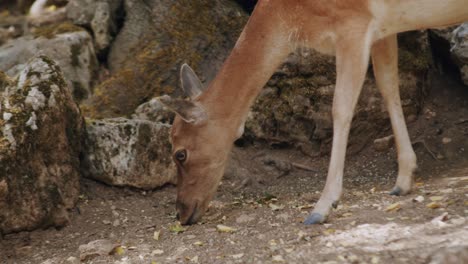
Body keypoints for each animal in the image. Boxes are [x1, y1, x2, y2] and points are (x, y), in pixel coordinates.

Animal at [158, 1, 468, 226]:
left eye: (180, 153)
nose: (181, 213)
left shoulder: (352, 25)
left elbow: (341, 108)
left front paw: (322, 207)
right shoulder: (384, 28)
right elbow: (388, 84)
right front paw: (403, 180)